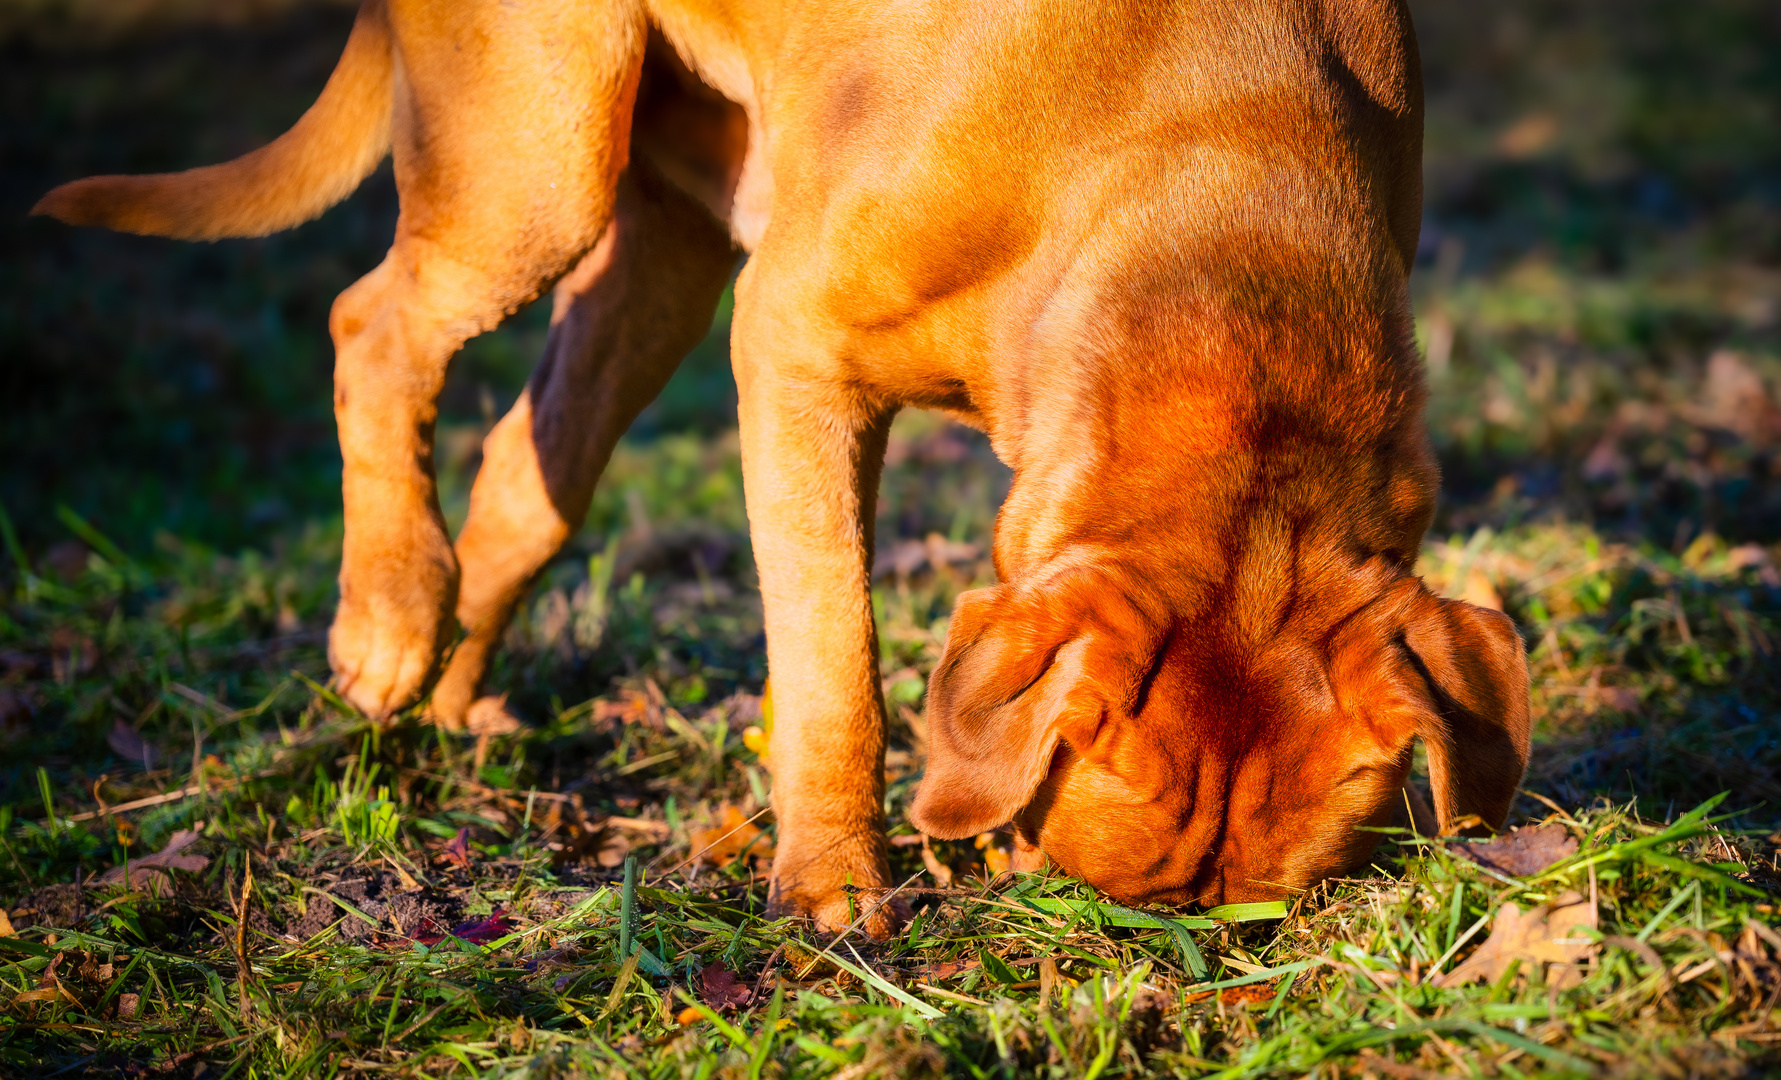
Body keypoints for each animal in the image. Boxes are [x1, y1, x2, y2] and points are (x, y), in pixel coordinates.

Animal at [34, 0, 1524, 940]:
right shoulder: (793, 343)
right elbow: (833, 660)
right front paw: (830, 889)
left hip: (660, 247)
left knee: (525, 467)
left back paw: (454, 702)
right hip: (534, 149)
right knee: (371, 323)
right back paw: (391, 616)